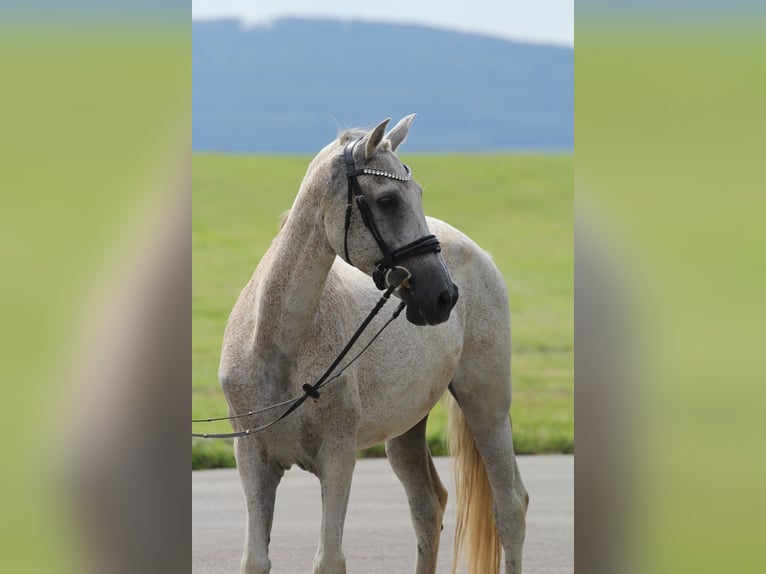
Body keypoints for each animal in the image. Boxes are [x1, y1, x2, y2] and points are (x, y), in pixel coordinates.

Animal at [216, 115, 528, 572]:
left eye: (416, 194)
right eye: (388, 200)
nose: (443, 295)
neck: (277, 347)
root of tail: (475, 251)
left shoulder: (338, 457)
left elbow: (329, 559)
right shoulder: (253, 458)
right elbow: (256, 559)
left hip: (485, 402)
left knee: (510, 507)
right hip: (406, 427)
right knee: (427, 505)